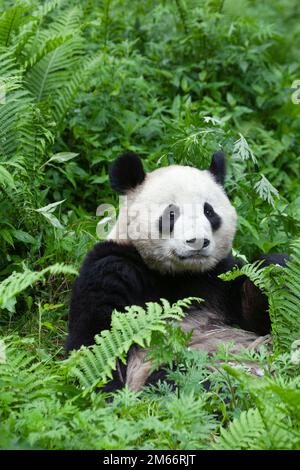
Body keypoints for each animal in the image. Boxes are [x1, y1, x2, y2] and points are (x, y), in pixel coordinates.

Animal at [67, 151, 288, 390]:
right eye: (171, 214)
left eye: (208, 211)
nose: (198, 241)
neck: (178, 273)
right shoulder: (114, 264)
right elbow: (97, 338)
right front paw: (106, 390)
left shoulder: (218, 276)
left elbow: (256, 317)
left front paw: (275, 269)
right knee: (181, 378)